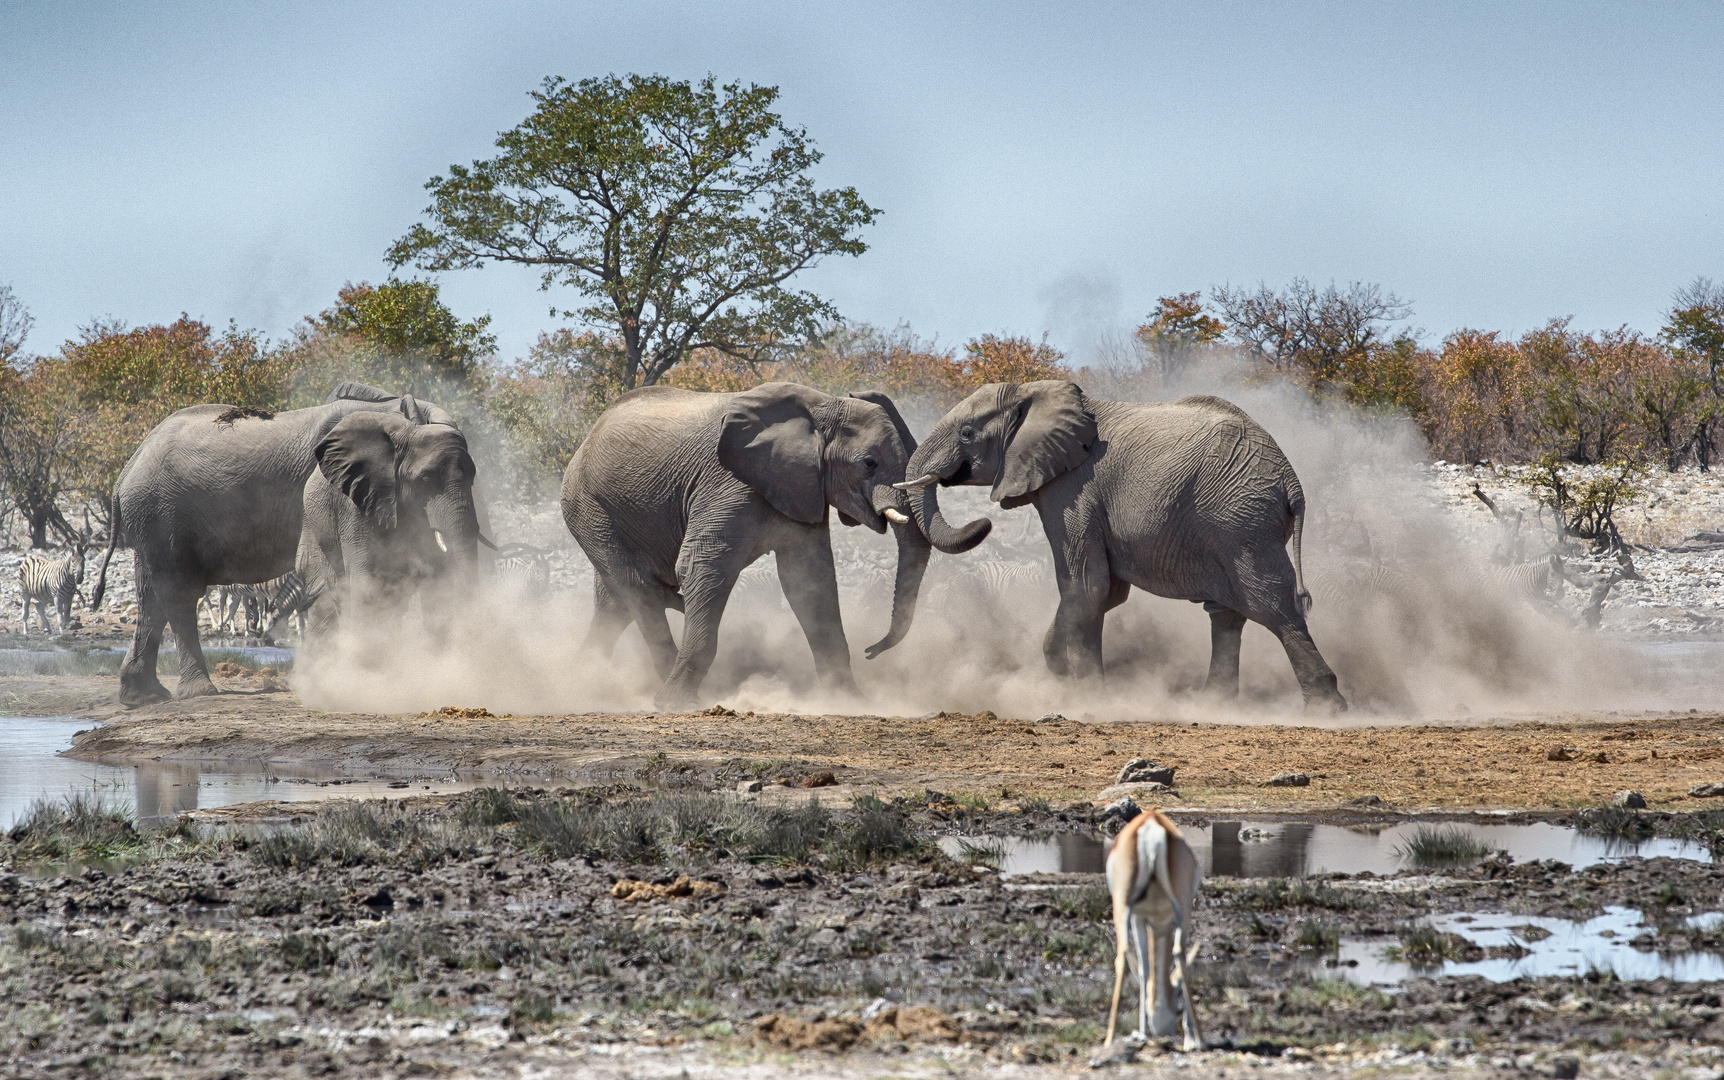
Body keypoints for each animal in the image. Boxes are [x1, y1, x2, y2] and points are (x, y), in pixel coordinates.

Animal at [565, 377, 993, 707]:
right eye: (869, 463)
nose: (872, 650)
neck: (822, 407)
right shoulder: (726, 481)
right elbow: (703, 566)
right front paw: (678, 705)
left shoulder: (804, 486)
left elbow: (810, 580)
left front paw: (847, 701)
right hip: (587, 504)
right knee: (637, 588)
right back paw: (671, 692)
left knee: (615, 601)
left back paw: (584, 679)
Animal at [903, 383, 1344, 710]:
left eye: (967, 433)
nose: (984, 523)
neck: (1036, 391)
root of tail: (1291, 481)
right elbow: (1105, 592)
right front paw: (1060, 669)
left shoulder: (1073, 489)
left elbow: (1086, 585)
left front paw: (1090, 697)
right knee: (1227, 612)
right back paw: (1212, 704)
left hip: (1240, 520)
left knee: (1271, 604)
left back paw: (1324, 708)